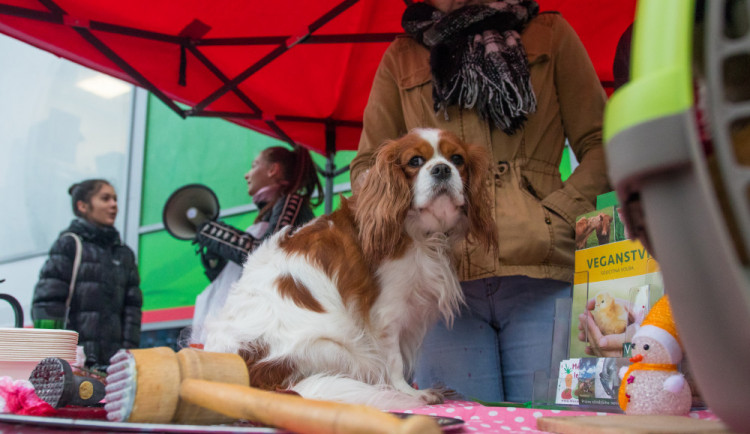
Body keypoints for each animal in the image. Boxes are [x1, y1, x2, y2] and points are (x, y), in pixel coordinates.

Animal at [206, 128, 500, 410]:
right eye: (415, 161)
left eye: (457, 159)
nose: (441, 169)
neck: (418, 231)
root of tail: (248, 376)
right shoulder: (385, 313)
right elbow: (393, 360)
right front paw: (409, 393)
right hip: (339, 349)